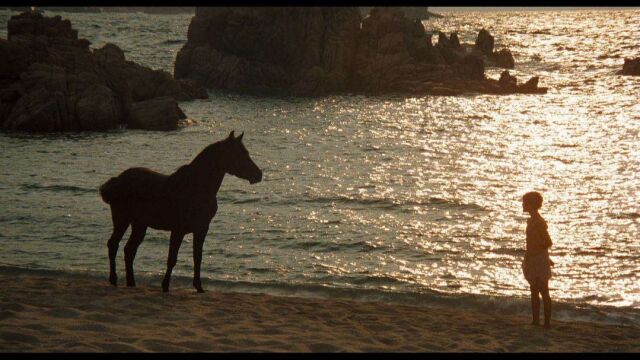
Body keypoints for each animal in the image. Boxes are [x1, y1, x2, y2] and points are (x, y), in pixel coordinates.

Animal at [99, 131, 262, 292]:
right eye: (238, 154)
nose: (258, 174)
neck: (195, 187)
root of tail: (117, 180)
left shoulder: (201, 229)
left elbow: (198, 257)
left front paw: (199, 287)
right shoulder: (178, 230)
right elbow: (172, 259)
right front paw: (165, 286)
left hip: (139, 224)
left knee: (129, 250)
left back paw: (131, 283)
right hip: (122, 220)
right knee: (113, 244)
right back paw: (114, 280)